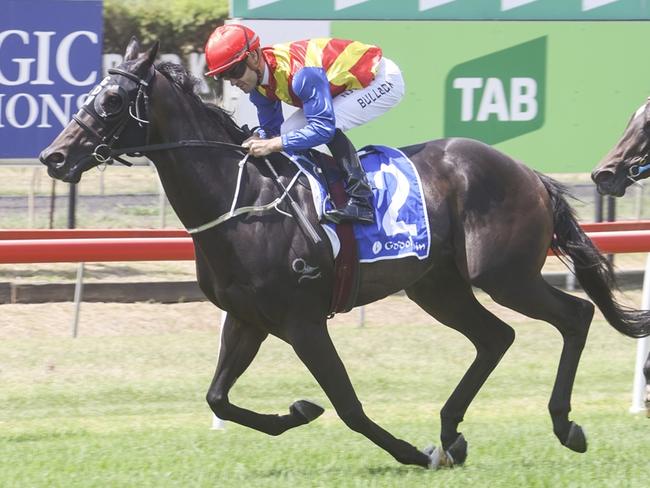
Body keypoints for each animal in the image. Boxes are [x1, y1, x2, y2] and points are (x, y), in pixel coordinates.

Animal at [40, 40, 648, 468]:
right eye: (87, 96)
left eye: (113, 100)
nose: (54, 156)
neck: (243, 201)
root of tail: (526, 171)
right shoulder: (247, 318)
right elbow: (217, 398)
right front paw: (297, 410)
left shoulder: (303, 322)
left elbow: (349, 407)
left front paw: (412, 453)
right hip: (437, 286)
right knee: (496, 337)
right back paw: (452, 432)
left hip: (503, 274)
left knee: (575, 315)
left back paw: (562, 425)